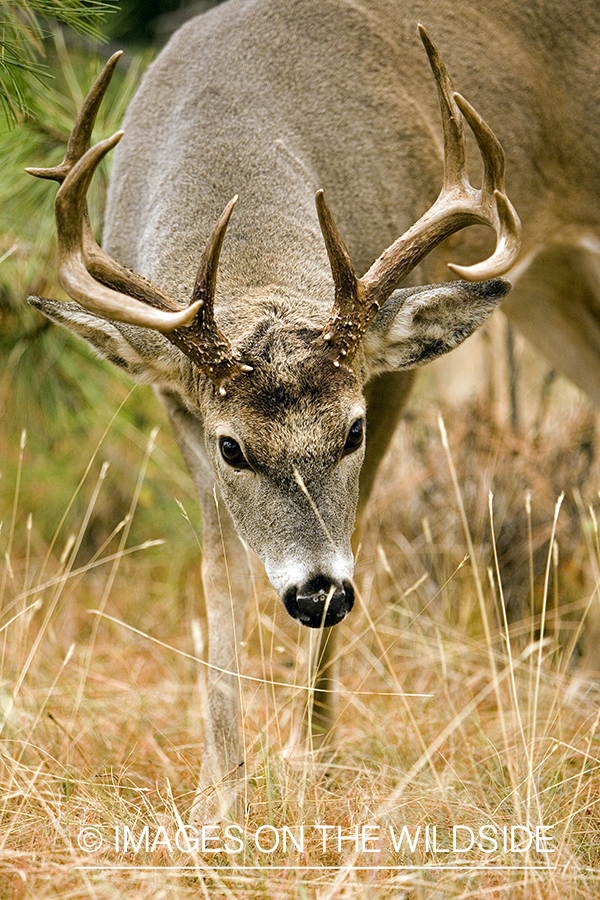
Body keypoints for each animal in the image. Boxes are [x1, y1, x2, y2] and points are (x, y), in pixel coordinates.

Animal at [25, 0, 592, 820]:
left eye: (351, 429)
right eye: (232, 446)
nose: (318, 594)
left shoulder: (387, 376)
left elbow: (352, 524)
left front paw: (306, 757)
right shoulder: (176, 403)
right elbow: (220, 575)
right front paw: (219, 790)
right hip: (551, 281)